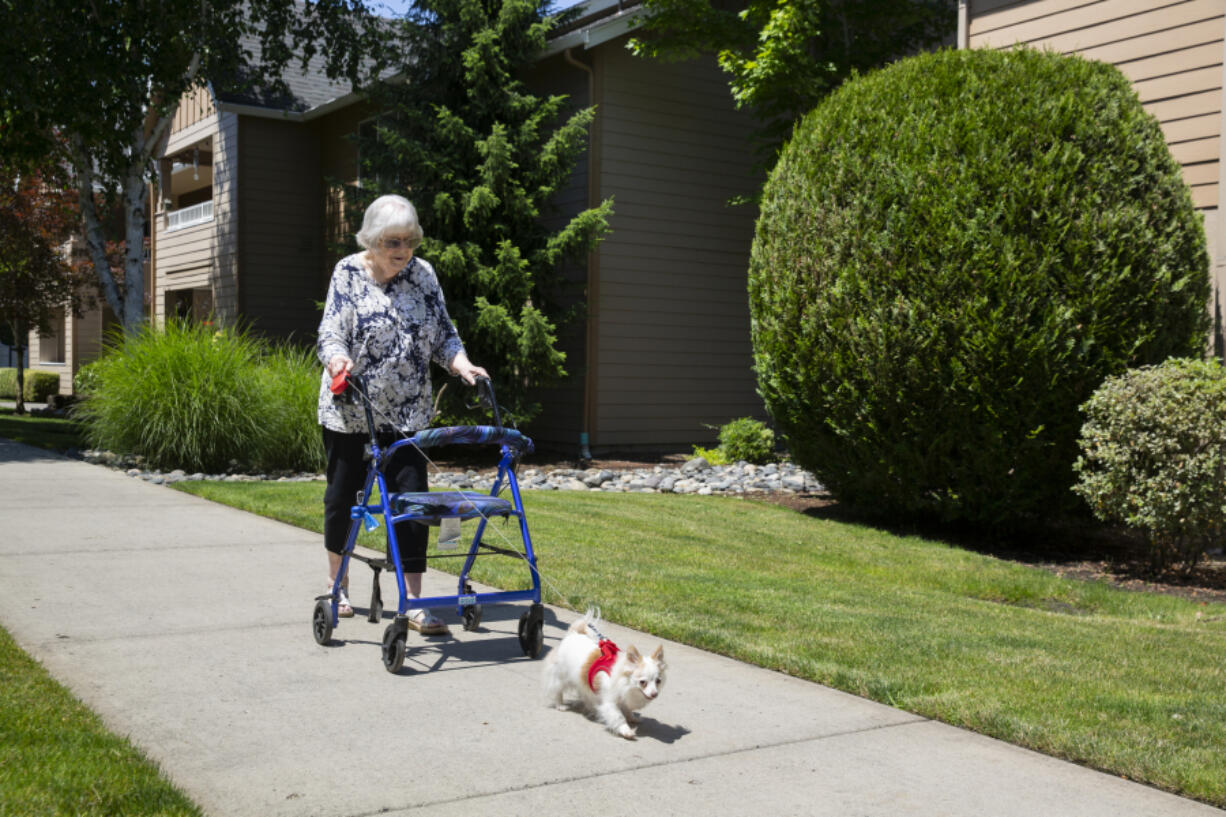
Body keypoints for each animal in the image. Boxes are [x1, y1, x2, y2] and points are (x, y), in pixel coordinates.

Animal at [541, 608, 666, 736]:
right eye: (642, 682)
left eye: (658, 681)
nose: (655, 694)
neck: (624, 682)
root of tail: (574, 633)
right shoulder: (610, 702)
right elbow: (618, 716)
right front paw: (626, 730)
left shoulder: (623, 697)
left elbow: (627, 709)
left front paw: (631, 717)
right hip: (561, 676)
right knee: (558, 690)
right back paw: (560, 705)